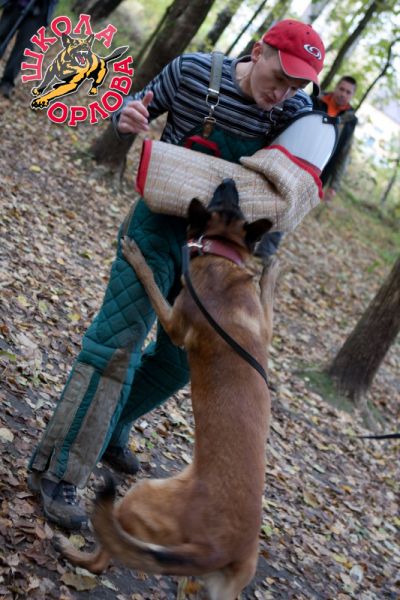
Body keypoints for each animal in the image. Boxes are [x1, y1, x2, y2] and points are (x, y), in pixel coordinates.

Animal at [56, 179, 279, 599]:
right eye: (231, 199)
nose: (229, 180)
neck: (223, 256)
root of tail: (217, 547)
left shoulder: (176, 324)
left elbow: (152, 284)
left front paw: (136, 255)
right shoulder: (264, 325)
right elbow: (267, 299)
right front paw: (270, 270)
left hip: (141, 495)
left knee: (105, 555)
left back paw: (73, 551)